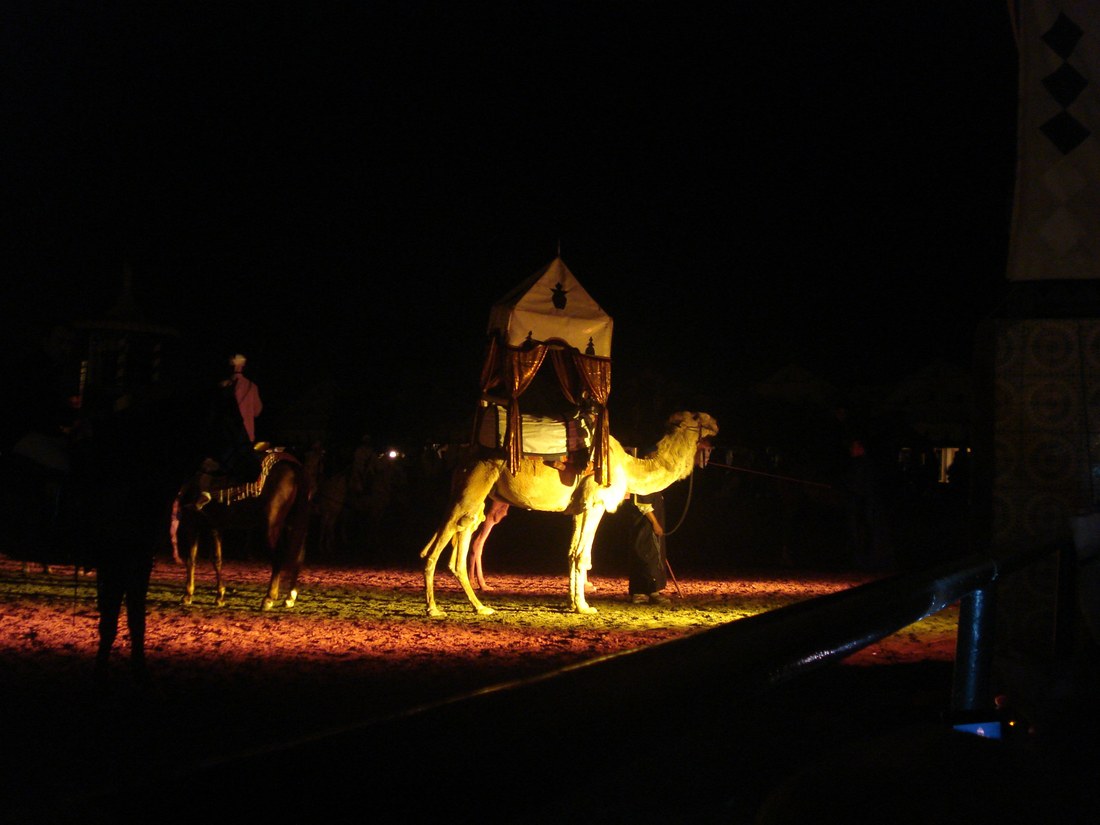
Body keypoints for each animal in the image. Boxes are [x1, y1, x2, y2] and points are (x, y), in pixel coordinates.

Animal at [178, 448, 312, 610]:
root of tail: (295, 469)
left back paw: (269, 598)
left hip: (271, 527)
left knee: (278, 557)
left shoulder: (191, 522)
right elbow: (215, 559)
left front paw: (187, 595)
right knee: (298, 557)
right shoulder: (214, 526)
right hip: (296, 523)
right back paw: (290, 597)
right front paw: (219, 597)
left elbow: (192, 559)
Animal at [420, 410, 717, 616]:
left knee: (461, 535)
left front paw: (575, 603)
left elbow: (573, 553)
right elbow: (582, 555)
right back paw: (434, 609)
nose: (715, 423)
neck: (628, 466)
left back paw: (480, 607)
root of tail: (463, 453)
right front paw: (585, 607)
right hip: (474, 484)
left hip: (474, 493)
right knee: (439, 543)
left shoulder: (579, 508)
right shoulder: (596, 503)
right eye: (695, 416)